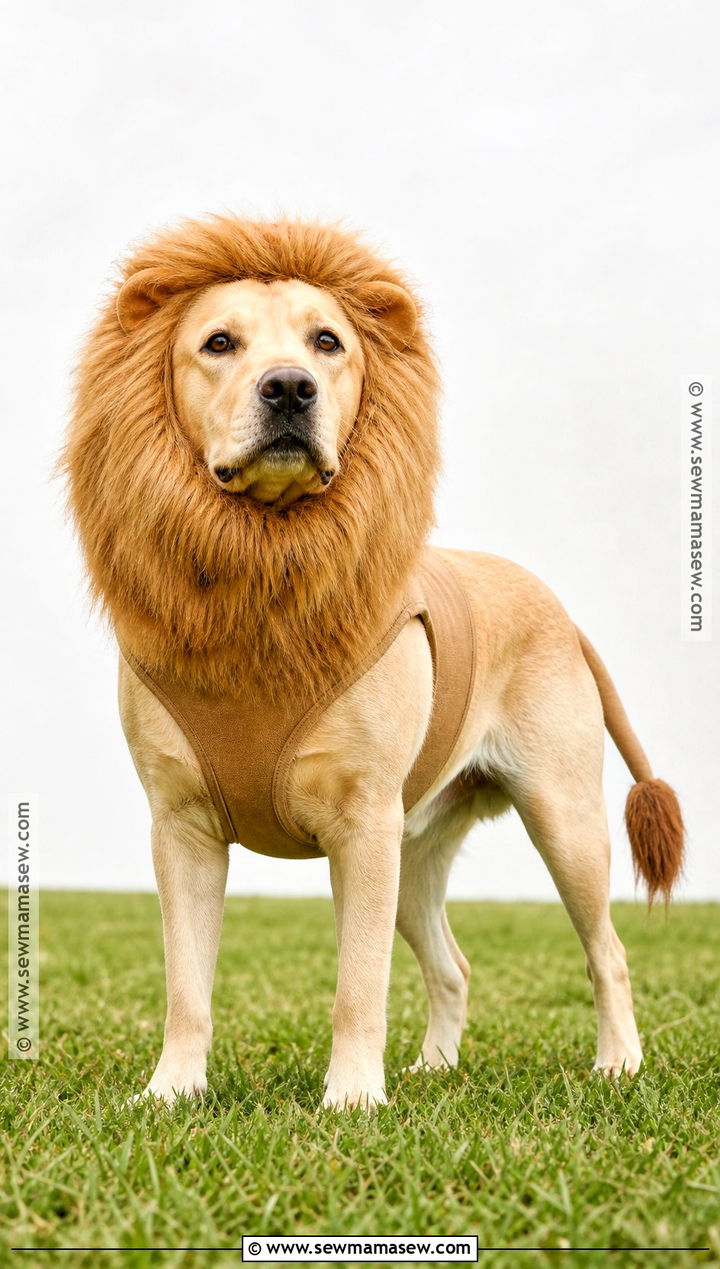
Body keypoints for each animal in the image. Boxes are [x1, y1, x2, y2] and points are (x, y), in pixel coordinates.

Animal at [64, 214, 684, 1109]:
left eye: (328, 341)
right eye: (218, 342)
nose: (290, 388)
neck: (265, 587)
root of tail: (556, 605)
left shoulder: (362, 824)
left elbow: (358, 982)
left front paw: (352, 1099)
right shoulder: (180, 829)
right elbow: (187, 986)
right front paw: (172, 1092)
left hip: (560, 822)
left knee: (611, 953)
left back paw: (617, 1064)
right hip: (416, 848)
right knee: (455, 965)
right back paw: (435, 1067)